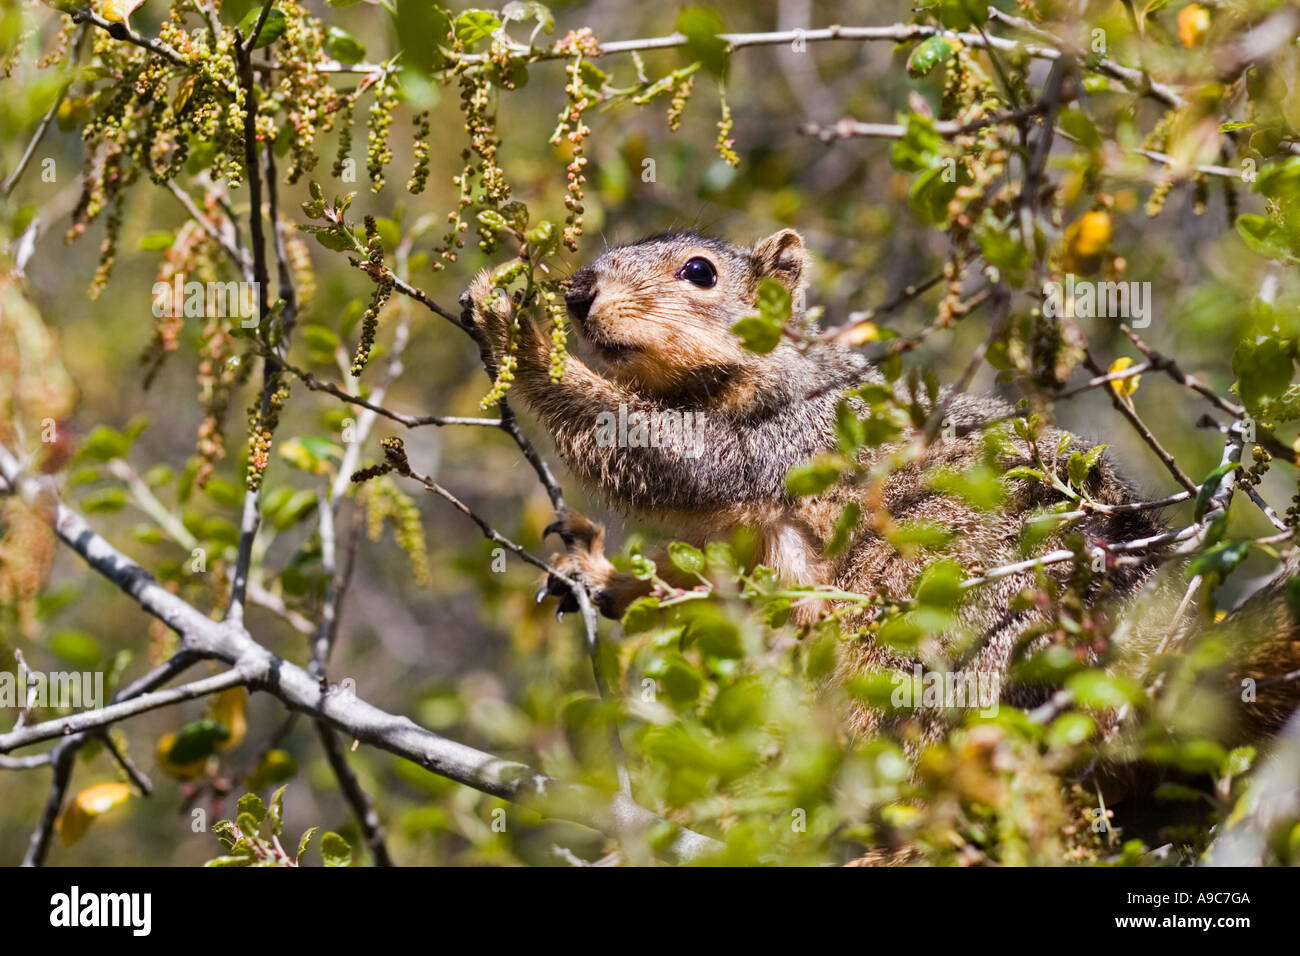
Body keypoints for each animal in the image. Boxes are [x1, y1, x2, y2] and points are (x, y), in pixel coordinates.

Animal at [459, 229, 1300, 747]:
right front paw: (596, 571)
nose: (576, 291)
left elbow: (676, 460)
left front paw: (517, 328)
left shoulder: (789, 435)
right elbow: (701, 592)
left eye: (699, 272)